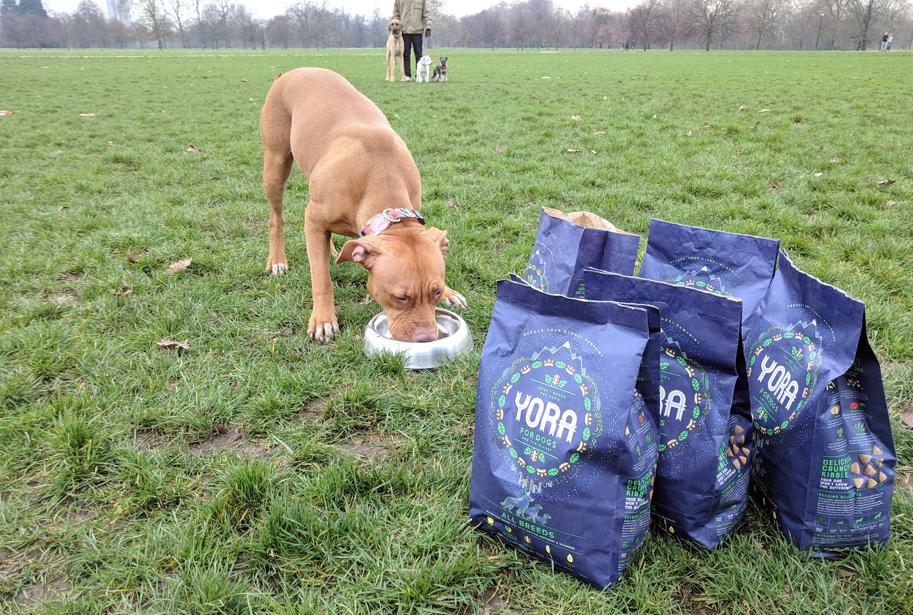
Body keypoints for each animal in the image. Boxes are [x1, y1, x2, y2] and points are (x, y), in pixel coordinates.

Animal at [260, 68, 466, 342]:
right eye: (400, 298)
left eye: (436, 291)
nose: (426, 339)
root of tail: (292, 72)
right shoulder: (314, 219)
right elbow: (321, 278)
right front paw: (323, 319)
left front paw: (451, 293)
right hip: (275, 164)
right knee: (277, 217)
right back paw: (277, 260)